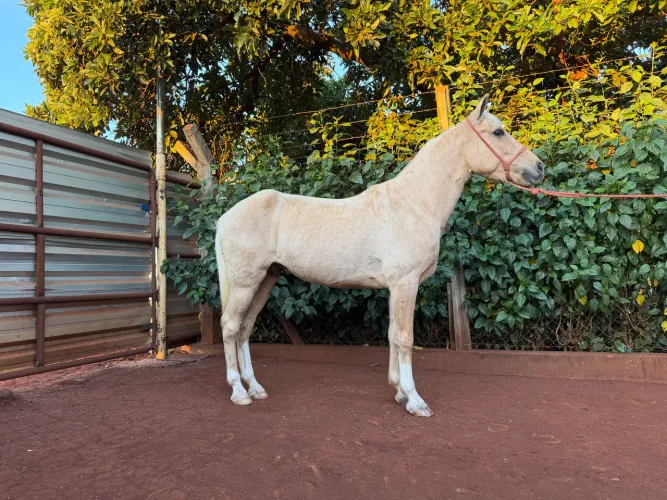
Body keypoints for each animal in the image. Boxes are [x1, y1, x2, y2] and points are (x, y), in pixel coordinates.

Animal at [214, 95, 544, 417]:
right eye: (498, 132)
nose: (539, 168)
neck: (415, 203)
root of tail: (225, 218)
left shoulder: (395, 288)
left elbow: (392, 334)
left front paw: (399, 392)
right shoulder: (406, 283)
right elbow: (405, 338)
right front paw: (415, 400)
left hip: (266, 279)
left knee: (244, 329)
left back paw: (256, 388)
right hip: (245, 283)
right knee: (230, 326)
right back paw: (239, 392)